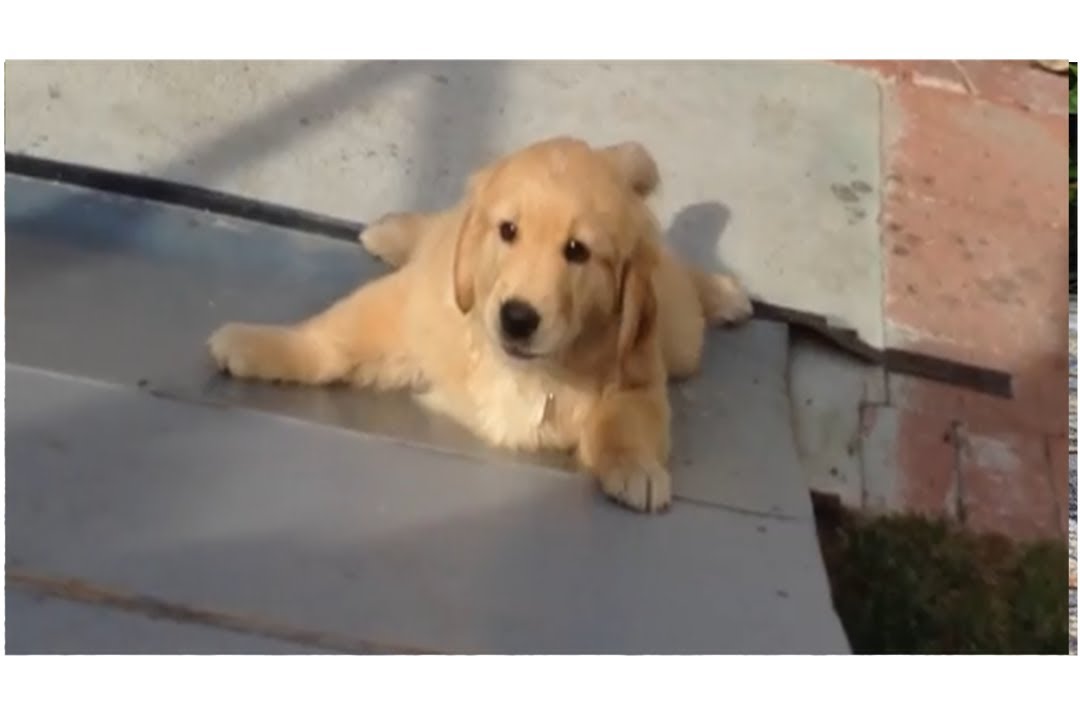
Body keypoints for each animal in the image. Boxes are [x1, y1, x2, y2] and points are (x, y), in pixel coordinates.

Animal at [208, 136, 751, 511]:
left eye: (577, 251)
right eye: (508, 231)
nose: (517, 318)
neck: (524, 369)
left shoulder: (635, 371)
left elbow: (627, 420)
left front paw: (637, 467)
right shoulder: (415, 308)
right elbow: (335, 335)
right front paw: (259, 343)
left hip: (677, 334)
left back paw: (724, 292)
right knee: (439, 227)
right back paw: (392, 231)